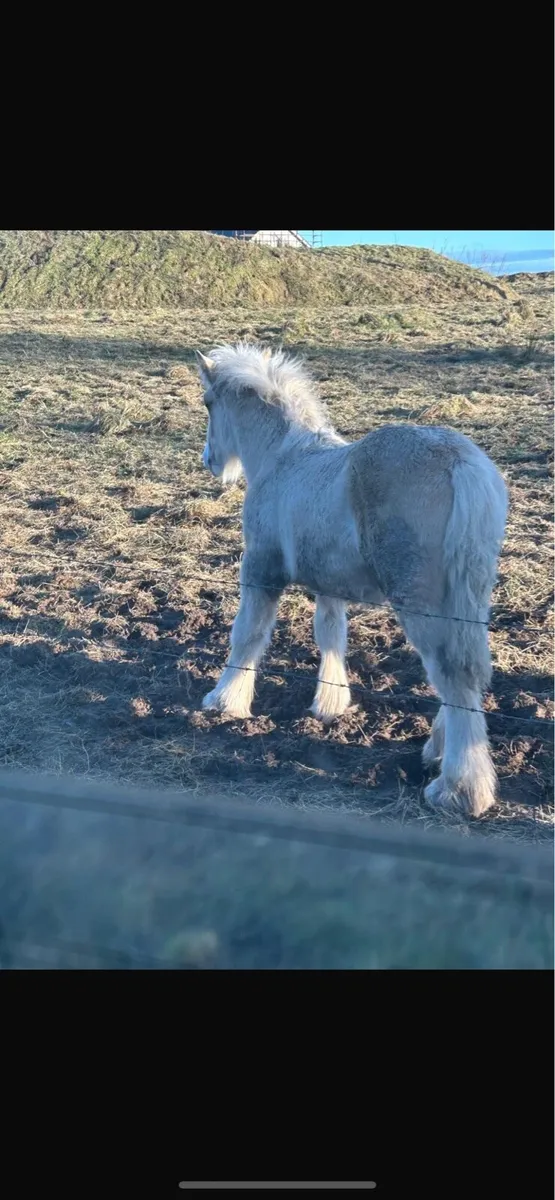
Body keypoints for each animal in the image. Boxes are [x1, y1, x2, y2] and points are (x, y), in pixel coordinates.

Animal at [195, 343, 508, 818]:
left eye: (208, 403)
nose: (210, 462)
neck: (283, 458)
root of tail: (460, 461)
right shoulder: (330, 584)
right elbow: (330, 635)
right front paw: (330, 705)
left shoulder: (261, 570)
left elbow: (246, 636)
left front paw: (225, 701)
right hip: (469, 595)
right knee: (465, 669)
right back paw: (438, 751)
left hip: (419, 600)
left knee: (452, 673)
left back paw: (458, 789)